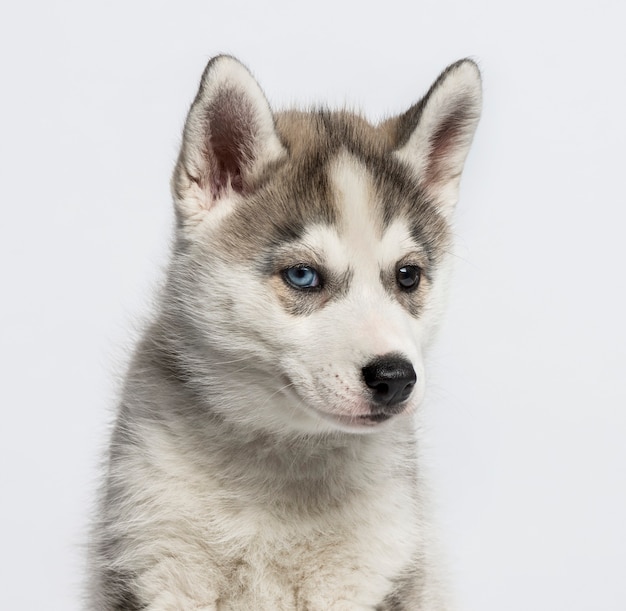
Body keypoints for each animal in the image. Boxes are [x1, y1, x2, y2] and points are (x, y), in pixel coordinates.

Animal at [86, 55, 478, 608]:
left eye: (407, 276)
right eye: (303, 276)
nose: (395, 378)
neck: (283, 460)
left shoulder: (374, 570)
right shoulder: (157, 561)